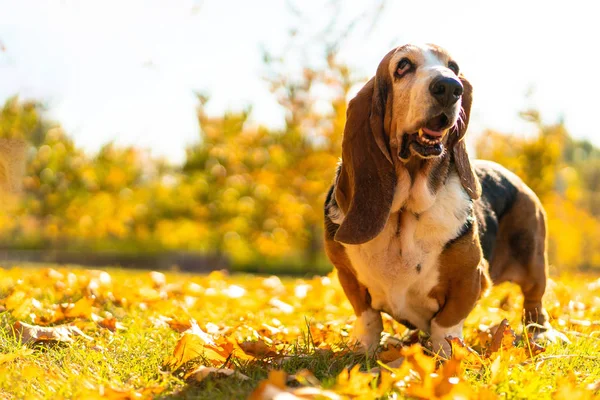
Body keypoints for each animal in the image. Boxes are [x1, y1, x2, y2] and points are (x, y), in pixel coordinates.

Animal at [324, 43, 552, 356]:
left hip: (533, 265)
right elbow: (368, 318)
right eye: (403, 66)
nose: (450, 87)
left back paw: (540, 336)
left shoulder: (469, 279)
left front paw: (448, 357)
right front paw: (364, 351)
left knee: (534, 305)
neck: (404, 212)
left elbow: (446, 325)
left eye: (453, 68)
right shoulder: (348, 276)